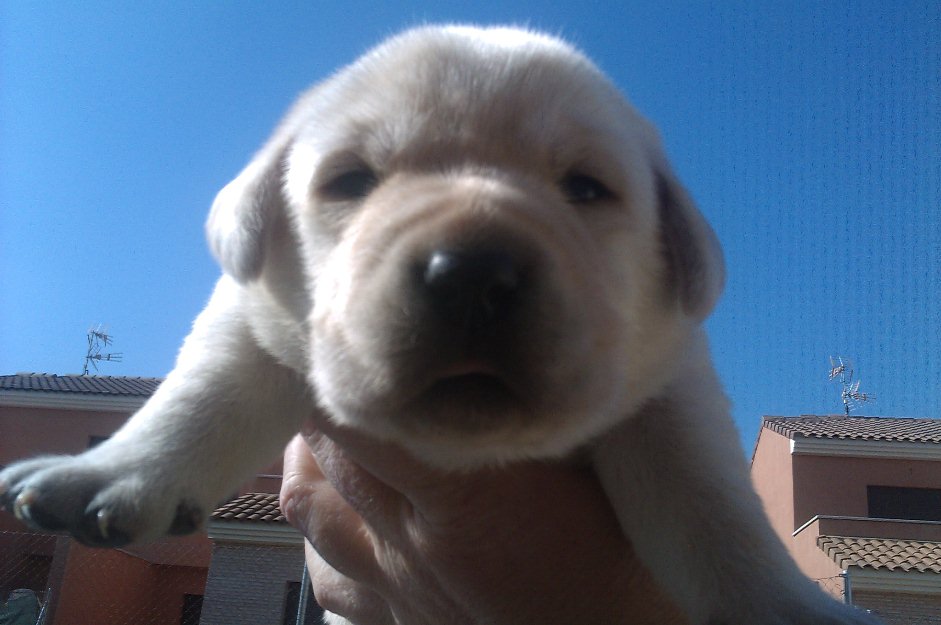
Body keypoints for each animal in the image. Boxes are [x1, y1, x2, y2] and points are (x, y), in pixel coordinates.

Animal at [1, 25, 880, 624]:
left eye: (585, 187)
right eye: (349, 180)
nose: (471, 274)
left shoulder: (668, 394)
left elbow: (712, 514)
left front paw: (788, 607)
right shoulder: (258, 320)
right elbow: (201, 398)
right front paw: (114, 470)